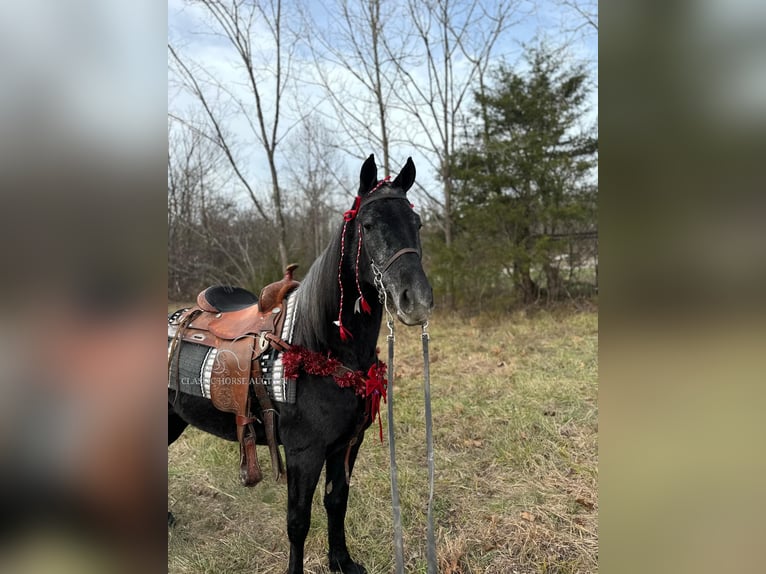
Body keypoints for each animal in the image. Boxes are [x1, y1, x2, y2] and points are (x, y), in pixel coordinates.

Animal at [169, 155, 436, 574]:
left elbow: (336, 503)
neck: (320, 349)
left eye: (418, 223)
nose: (417, 300)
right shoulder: (303, 453)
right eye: (368, 225)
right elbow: (298, 521)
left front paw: (342, 561)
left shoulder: (347, 443)